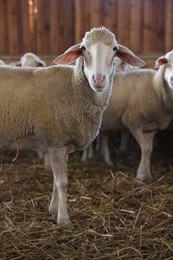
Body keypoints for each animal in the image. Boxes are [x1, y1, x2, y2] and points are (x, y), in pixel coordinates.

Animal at [0, 26, 144, 223]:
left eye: (115, 49)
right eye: (83, 48)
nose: (98, 79)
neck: (73, 86)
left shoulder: (61, 144)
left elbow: (56, 179)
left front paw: (53, 209)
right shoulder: (56, 140)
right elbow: (63, 183)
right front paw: (63, 219)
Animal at [100, 49, 173, 182]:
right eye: (166, 62)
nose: (172, 79)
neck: (156, 87)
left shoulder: (151, 127)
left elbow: (149, 149)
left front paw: (147, 175)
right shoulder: (133, 121)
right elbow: (145, 148)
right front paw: (140, 176)